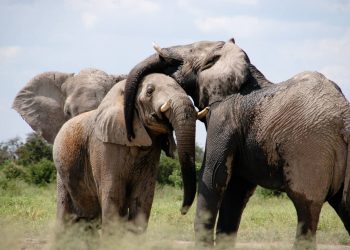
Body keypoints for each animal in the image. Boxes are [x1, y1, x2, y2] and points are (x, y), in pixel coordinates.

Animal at [53, 73, 198, 233]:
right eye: (149, 91)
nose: (182, 211)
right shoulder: (104, 146)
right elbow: (113, 196)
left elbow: (143, 197)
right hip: (62, 174)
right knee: (64, 216)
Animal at [196, 72, 350, 248]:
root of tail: (344, 115)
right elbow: (236, 188)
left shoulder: (223, 119)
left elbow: (213, 177)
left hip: (309, 149)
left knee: (306, 209)